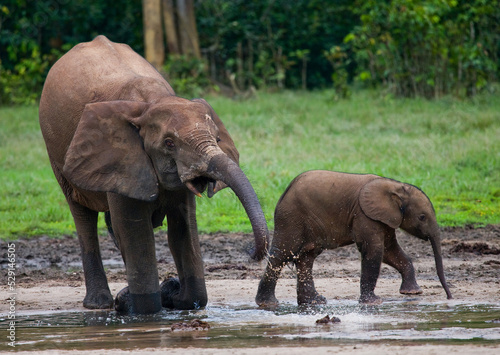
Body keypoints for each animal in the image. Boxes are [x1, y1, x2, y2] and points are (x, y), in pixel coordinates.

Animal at [38, 35, 270, 314]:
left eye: (216, 139)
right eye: (169, 144)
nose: (251, 251)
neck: (149, 103)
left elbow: (182, 230)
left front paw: (174, 295)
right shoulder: (123, 156)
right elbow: (136, 234)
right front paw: (144, 305)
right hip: (56, 152)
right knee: (83, 216)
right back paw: (99, 304)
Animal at [258, 170, 454, 306]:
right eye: (422, 217)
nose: (449, 297)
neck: (395, 186)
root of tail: (285, 192)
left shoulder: (384, 218)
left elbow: (389, 251)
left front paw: (412, 293)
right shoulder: (364, 214)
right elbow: (374, 250)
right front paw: (374, 303)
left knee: (306, 258)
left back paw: (315, 302)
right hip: (292, 218)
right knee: (282, 255)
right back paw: (268, 303)